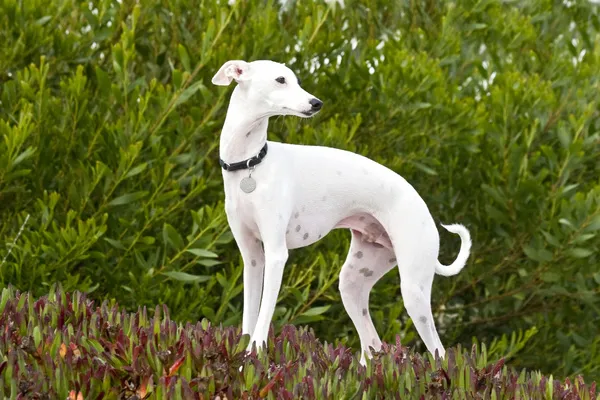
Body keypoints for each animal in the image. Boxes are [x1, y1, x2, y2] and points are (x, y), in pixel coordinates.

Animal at [211, 60, 468, 366]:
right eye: (281, 80)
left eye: (296, 80)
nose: (316, 103)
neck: (251, 164)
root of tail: (422, 205)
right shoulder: (252, 258)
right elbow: (250, 316)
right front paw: (242, 358)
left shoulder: (276, 255)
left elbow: (264, 316)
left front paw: (255, 355)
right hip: (353, 284)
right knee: (373, 344)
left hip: (414, 291)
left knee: (439, 351)